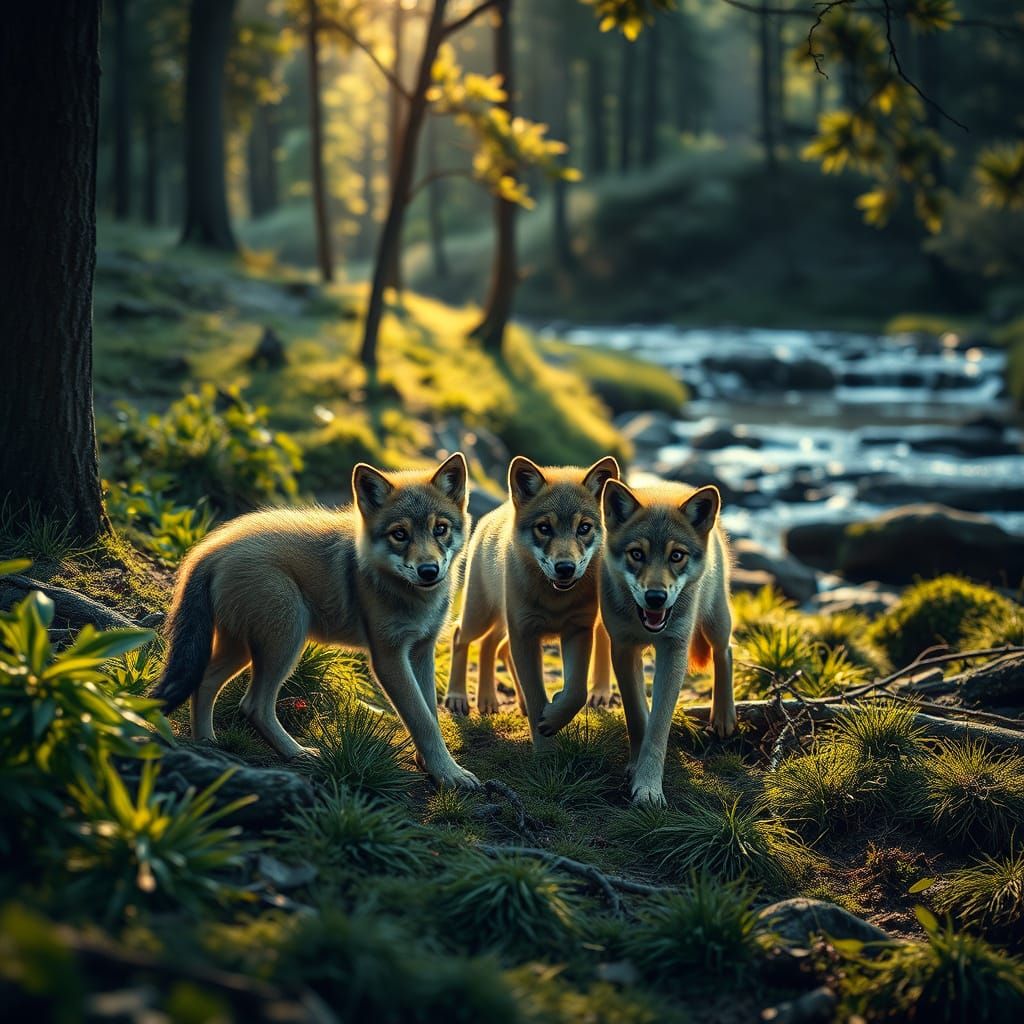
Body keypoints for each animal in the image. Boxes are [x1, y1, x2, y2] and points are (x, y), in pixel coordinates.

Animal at [152, 453, 480, 789]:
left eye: (440, 529)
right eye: (399, 534)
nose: (429, 571)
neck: (414, 599)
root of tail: (211, 549)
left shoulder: (421, 651)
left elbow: (430, 715)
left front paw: (431, 766)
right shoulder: (387, 658)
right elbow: (423, 720)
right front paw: (449, 773)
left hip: (243, 650)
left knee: (205, 683)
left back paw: (206, 744)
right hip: (285, 642)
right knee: (253, 705)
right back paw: (295, 753)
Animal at [444, 455, 619, 744]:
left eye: (584, 528)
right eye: (544, 528)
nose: (565, 568)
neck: (555, 601)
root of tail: (493, 514)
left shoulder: (578, 630)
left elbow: (576, 693)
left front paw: (553, 717)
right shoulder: (525, 632)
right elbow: (537, 695)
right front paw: (544, 747)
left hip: (503, 624)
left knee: (493, 647)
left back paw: (490, 701)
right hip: (481, 617)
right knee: (461, 635)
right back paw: (458, 698)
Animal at [600, 478, 734, 805]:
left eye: (676, 555)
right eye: (637, 554)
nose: (656, 597)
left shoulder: (674, 650)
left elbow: (659, 727)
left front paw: (648, 789)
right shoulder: (623, 648)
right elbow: (638, 716)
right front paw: (636, 768)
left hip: (716, 620)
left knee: (725, 652)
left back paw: (724, 717)